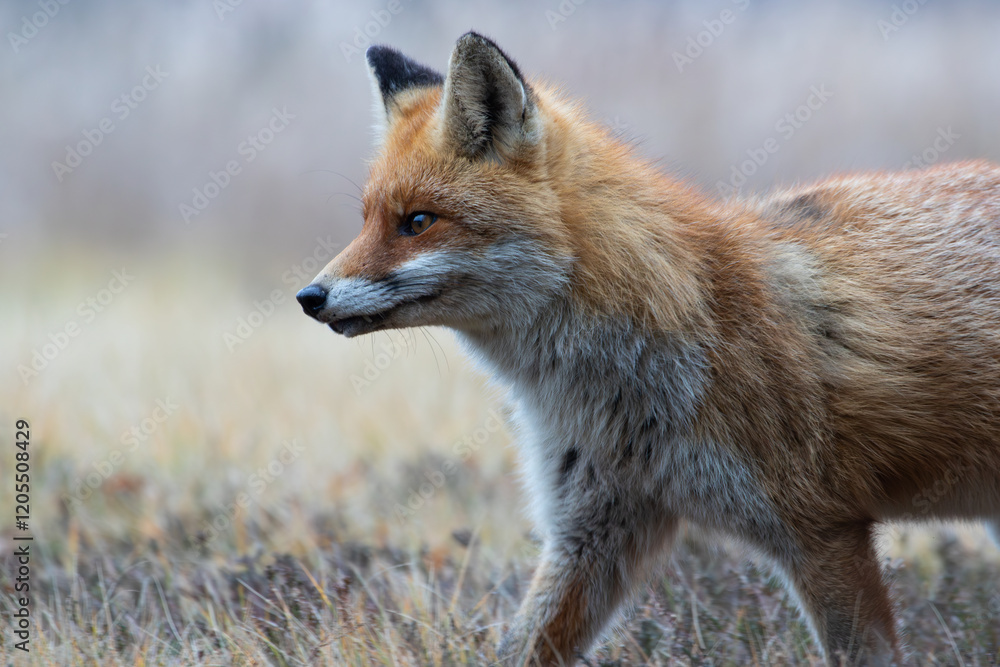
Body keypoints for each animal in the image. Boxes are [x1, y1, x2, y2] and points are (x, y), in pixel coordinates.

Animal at [296, 32, 1000, 665]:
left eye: (417, 222)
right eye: (366, 220)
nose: (309, 297)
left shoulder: (822, 532)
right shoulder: (590, 534)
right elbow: (519, 647)